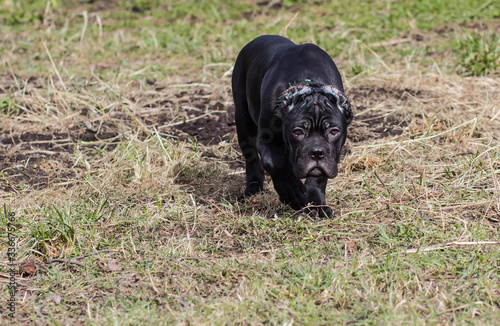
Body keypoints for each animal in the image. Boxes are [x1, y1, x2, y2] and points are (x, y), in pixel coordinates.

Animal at [230, 35, 352, 216]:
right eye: (298, 131)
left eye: (334, 131)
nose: (317, 153)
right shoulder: (266, 141)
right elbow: (276, 164)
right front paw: (293, 194)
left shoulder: (330, 157)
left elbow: (317, 178)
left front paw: (317, 205)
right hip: (243, 119)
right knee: (251, 157)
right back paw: (252, 189)